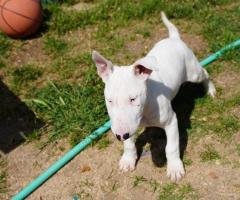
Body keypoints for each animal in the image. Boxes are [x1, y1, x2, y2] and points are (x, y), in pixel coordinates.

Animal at [92, 11, 216, 182]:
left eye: (133, 99)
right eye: (109, 101)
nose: (120, 135)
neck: (144, 111)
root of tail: (174, 38)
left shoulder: (171, 121)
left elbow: (171, 147)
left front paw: (175, 168)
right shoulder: (128, 125)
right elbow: (129, 144)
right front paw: (128, 160)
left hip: (193, 73)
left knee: (205, 72)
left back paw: (210, 89)